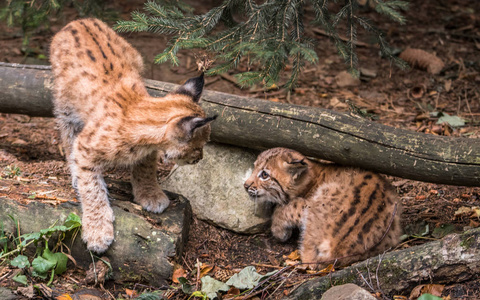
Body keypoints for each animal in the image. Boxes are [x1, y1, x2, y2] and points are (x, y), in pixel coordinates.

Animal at [49, 18, 216, 253]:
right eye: (198, 147)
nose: (199, 159)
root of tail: (81, 20)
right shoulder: (85, 146)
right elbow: (91, 188)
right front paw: (97, 230)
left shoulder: (148, 148)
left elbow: (145, 169)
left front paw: (150, 194)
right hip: (65, 107)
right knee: (67, 137)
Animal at [244, 148, 402, 268]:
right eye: (254, 167)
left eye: (265, 174)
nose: (245, 185)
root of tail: (339, 247)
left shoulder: (305, 204)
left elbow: (286, 207)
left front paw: (278, 230)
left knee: (310, 261)